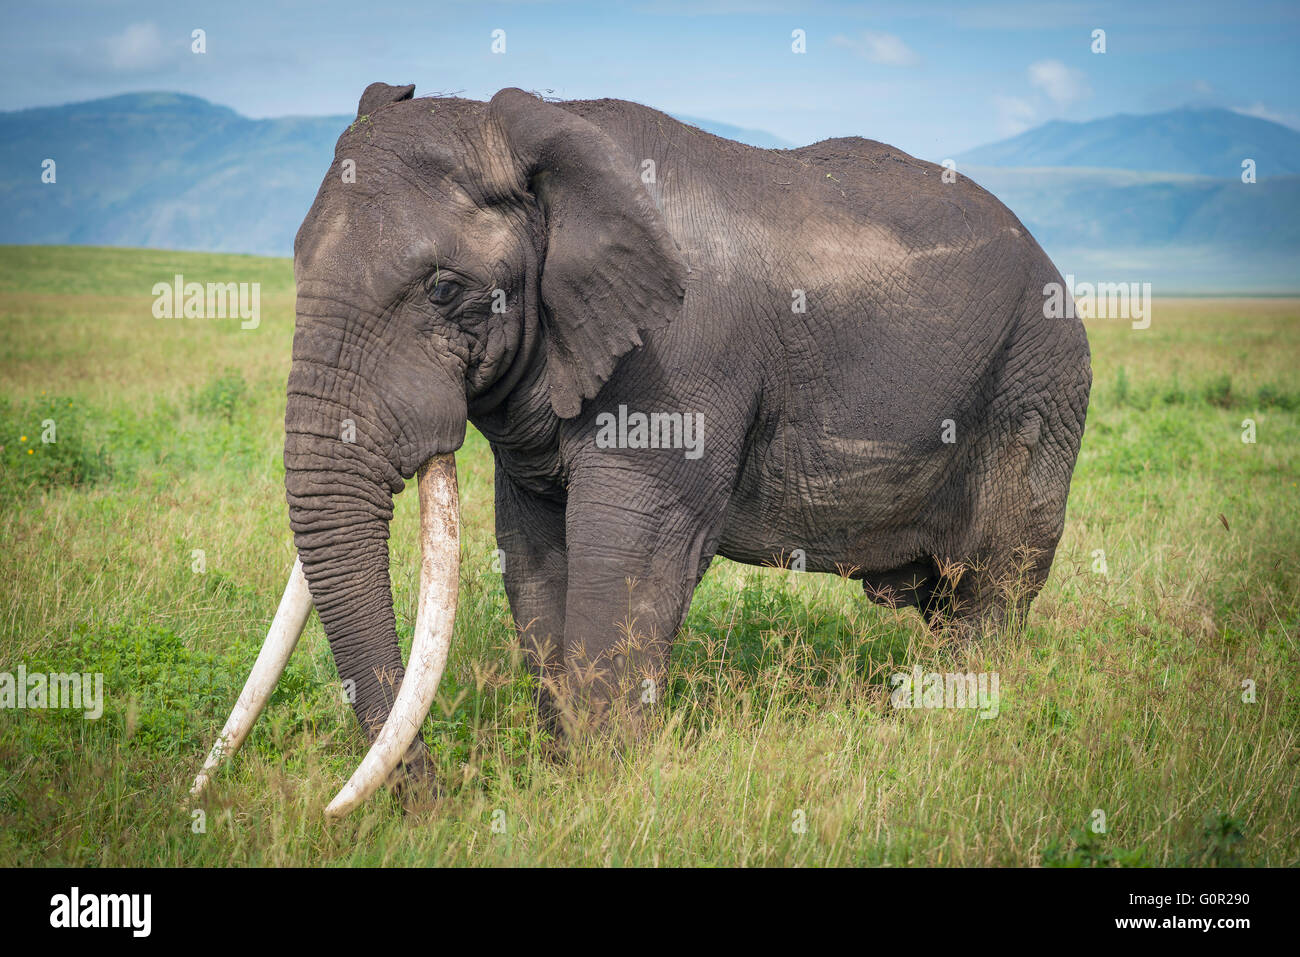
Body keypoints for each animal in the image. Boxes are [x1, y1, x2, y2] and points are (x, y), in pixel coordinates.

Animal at [192, 80, 1086, 816]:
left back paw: (956, 724)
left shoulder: (679, 362)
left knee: (994, 586)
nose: (436, 804)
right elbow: (536, 560)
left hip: (1037, 385)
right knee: (950, 596)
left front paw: (601, 791)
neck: (536, 136)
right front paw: (565, 781)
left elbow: (629, 560)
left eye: (444, 290)